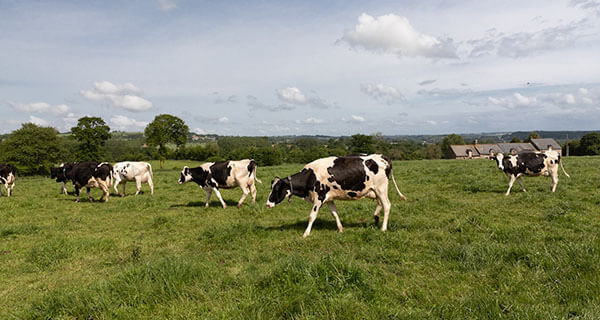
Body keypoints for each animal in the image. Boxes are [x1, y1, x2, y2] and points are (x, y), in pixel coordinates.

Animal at [266, 155, 408, 238]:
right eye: (271, 187)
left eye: (277, 189)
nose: (267, 204)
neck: (310, 176)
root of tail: (381, 156)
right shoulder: (329, 198)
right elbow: (334, 213)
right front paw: (340, 229)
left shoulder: (319, 197)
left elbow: (312, 216)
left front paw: (306, 234)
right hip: (375, 190)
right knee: (380, 204)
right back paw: (376, 217)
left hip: (381, 188)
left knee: (387, 205)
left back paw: (383, 228)